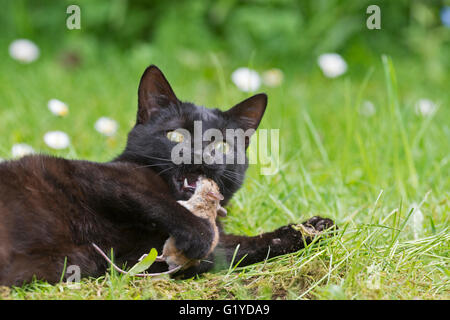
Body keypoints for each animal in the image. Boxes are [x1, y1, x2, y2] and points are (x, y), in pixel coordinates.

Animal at [0, 65, 336, 284]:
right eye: (176, 136)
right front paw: (198, 234)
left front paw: (311, 228)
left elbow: (241, 246)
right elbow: (155, 202)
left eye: (222, 144)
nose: (199, 155)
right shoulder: (99, 178)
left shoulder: (140, 258)